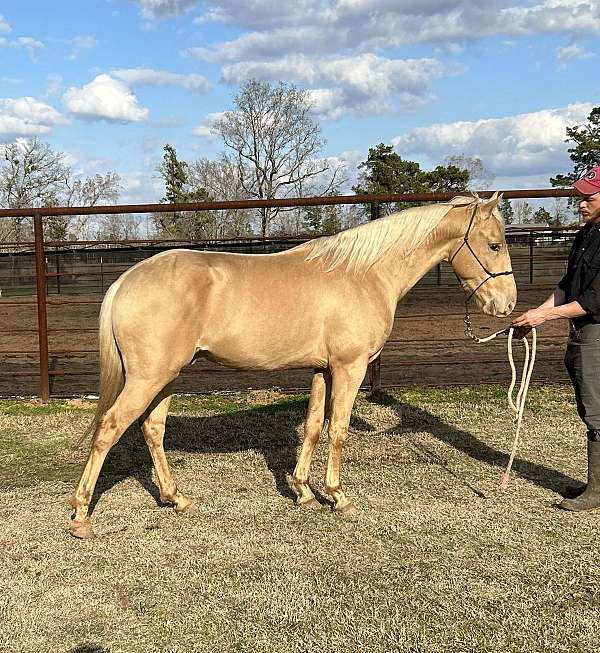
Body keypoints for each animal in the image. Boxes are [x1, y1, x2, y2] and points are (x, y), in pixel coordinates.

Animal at [69, 192, 516, 536]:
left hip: (166, 377)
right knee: (109, 429)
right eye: (494, 244)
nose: (506, 304)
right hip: (148, 378)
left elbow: (314, 426)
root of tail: (126, 280)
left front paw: (302, 491)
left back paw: (175, 497)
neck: (363, 274)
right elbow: (338, 430)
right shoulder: (350, 368)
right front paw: (337, 496)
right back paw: (81, 516)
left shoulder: (322, 369)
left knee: (152, 429)